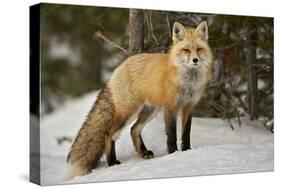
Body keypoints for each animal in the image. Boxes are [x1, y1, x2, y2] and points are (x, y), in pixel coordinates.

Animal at [64, 20, 212, 181]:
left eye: (199, 49)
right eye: (186, 50)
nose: (195, 60)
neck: (188, 82)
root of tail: (118, 69)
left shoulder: (188, 107)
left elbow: (186, 134)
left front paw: (186, 151)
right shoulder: (170, 107)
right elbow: (171, 135)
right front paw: (173, 154)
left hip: (150, 111)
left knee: (134, 129)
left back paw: (143, 153)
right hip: (129, 112)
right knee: (109, 134)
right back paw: (112, 162)